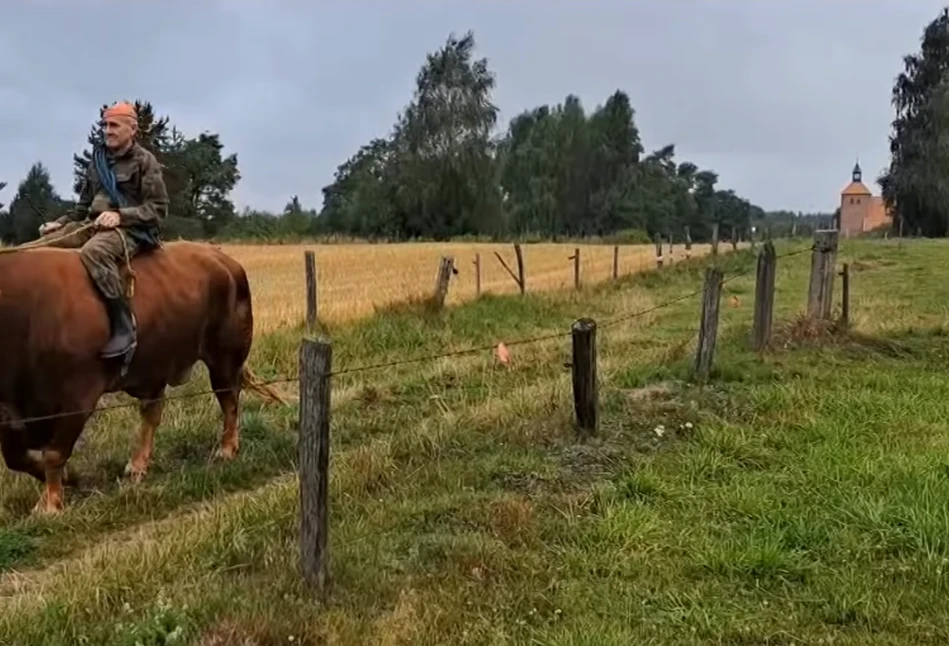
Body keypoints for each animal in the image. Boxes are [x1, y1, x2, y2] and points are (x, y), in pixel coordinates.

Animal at [0, 240, 278, 512]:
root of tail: (224, 260)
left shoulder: (78, 397)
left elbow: (54, 453)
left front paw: (50, 504)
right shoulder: (14, 411)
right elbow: (15, 457)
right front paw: (68, 480)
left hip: (224, 358)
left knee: (228, 400)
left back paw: (227, 448)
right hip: (157, 364)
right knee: (153, 414)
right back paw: (138, 464)